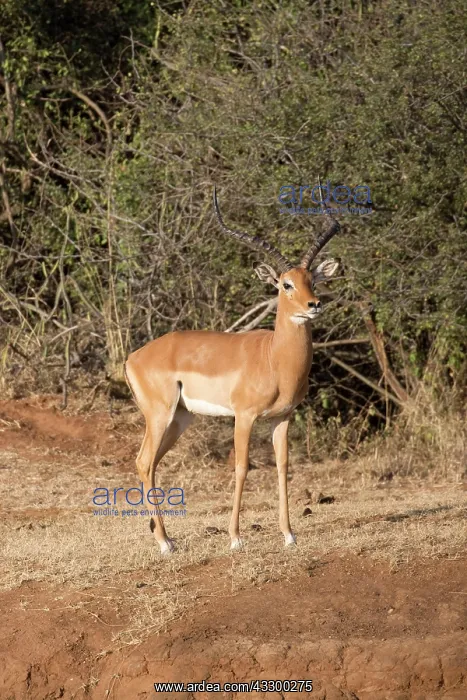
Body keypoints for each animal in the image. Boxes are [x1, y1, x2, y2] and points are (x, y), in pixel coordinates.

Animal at [125, 188, 340, 555]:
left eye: (312, 280)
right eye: (285, 284)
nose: (314, 305)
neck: (274, 357)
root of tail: (132, 358)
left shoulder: (283, 417)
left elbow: (283, 468)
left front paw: (289, 535)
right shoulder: (245, 416)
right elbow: (241, 468)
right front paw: (236, 538)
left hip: (180, 419)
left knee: (151, 463)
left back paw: (162, 535)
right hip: (160, 414)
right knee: (143, 461)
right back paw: (165, 543)